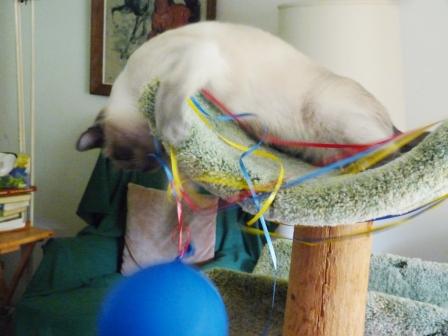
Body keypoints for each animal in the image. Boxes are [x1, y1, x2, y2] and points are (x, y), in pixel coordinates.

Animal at [76, 20, 400, 171]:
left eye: (131, 158)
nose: (159, 164)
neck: (131, 83)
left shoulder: (190, 62)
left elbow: (169, 96)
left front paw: (174, 131)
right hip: (319, 143)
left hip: (328, 114)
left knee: (390, 149)